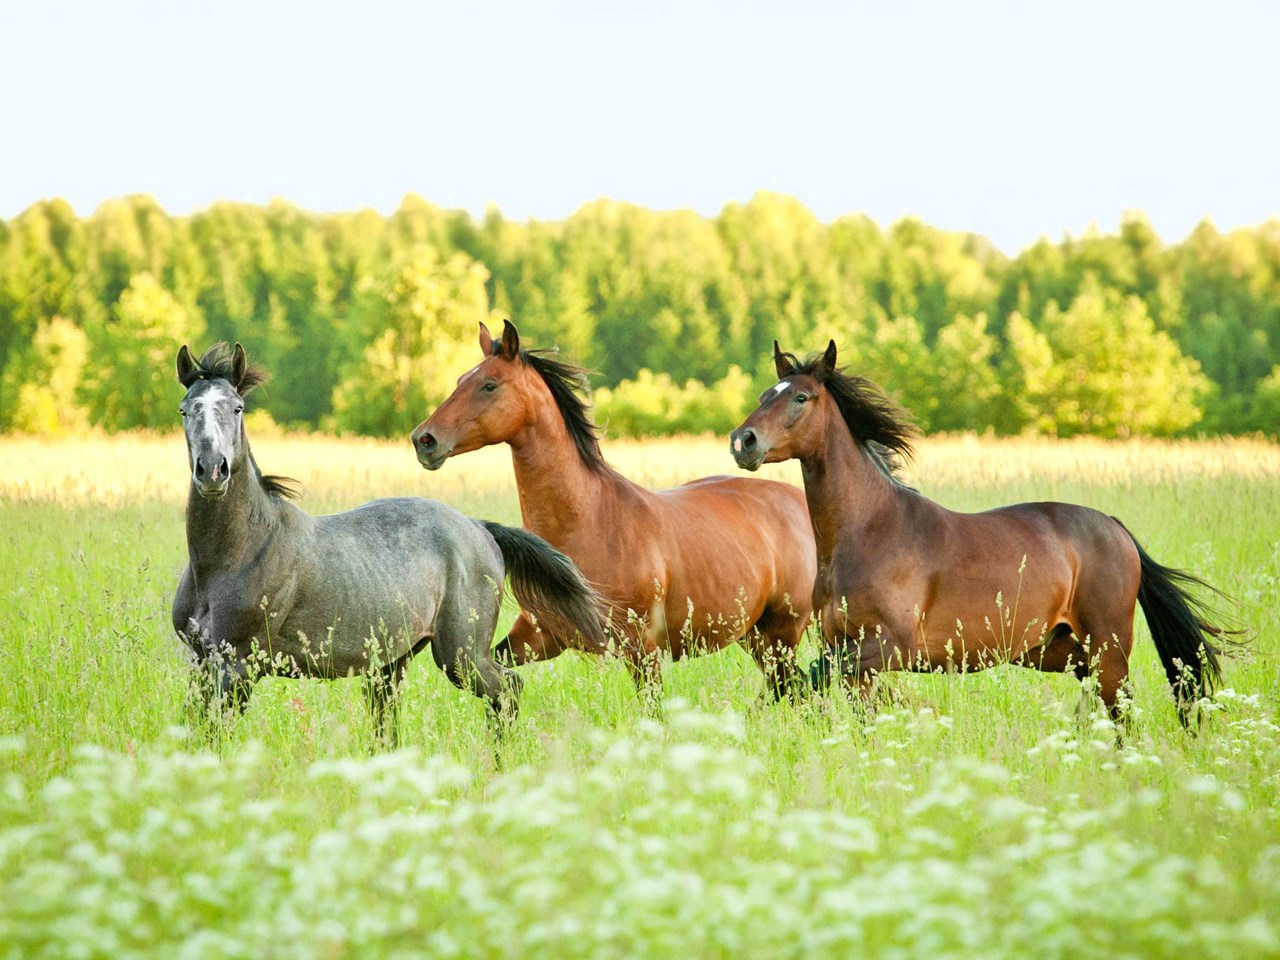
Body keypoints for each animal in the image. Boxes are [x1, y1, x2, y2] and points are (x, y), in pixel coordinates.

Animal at [171, 342, 604, 744]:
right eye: (185, 409)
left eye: (237, 407)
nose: (212, 471)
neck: (234, 556)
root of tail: (479, 528)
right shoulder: (200, 663)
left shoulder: (237, 666)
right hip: (392, 663)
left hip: (461, 655)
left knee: (509, 689)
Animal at [409, 320, 817, 700]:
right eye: (461, 379)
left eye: (489, 385)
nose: (424, 440)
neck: (590, 522)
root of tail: (799, 502)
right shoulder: (539, 636)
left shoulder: (642, 649)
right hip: (755, 636)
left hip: (781, 633)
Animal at [729, 339, 1237, 724]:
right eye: (764, 395)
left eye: (800, 398)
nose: (743, 441)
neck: (868, 532)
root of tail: (1115, 528)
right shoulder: (848, 652)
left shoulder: (892, 647)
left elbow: (807, 678)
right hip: (1059, 651)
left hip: (1107, 648)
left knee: (1123, 713)